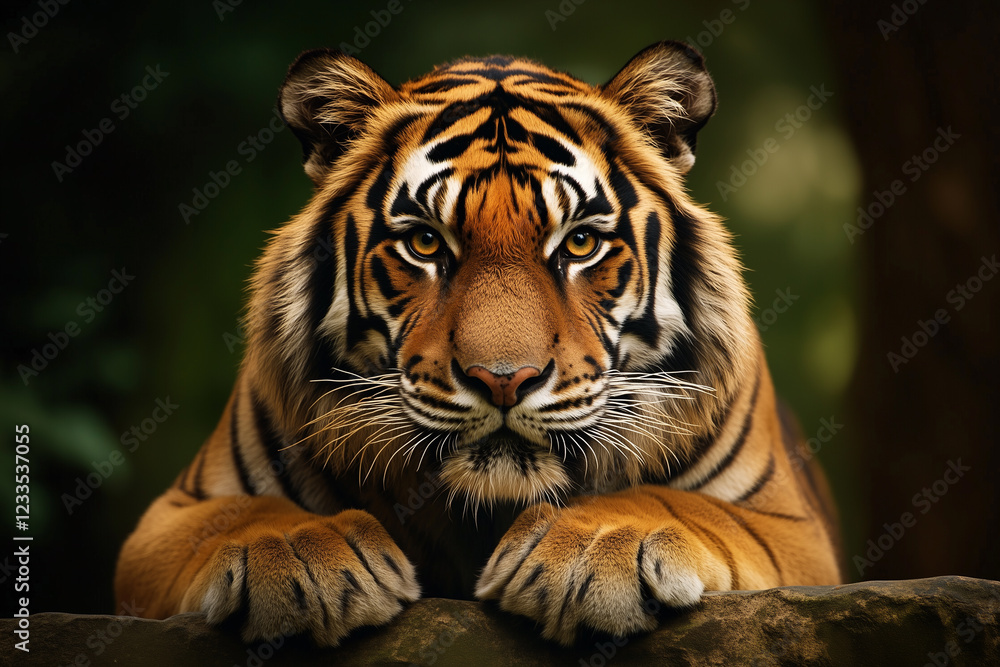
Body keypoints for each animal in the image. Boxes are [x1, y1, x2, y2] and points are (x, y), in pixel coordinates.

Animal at [115, 41, 843, 647]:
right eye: (424, 242)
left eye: (580, 242)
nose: (503, 379)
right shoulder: (167, 518)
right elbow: (245, 514)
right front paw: (302, 557)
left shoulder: (791, 527)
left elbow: (677, 502)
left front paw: (590, 548)